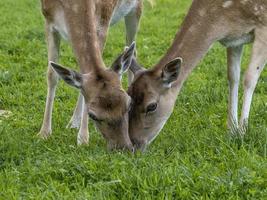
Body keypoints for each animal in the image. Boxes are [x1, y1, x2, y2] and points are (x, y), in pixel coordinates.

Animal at [38, 0, 144, 150]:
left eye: (128, 104)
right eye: (93, 115)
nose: (123, 148)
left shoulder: (102, 23)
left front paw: (83, 138)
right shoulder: (49, 21)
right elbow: (52, 76)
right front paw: (44, 133)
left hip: (136, 9)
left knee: (132, 50)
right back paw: (73, 122)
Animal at [128, 0, 267, 150]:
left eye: (151, 106)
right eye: (128, 96)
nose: (134, 144)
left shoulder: (263, 26)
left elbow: (249, 79)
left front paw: (242, 133)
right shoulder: (235, 39)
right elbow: (233, 76)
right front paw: (231, 131)